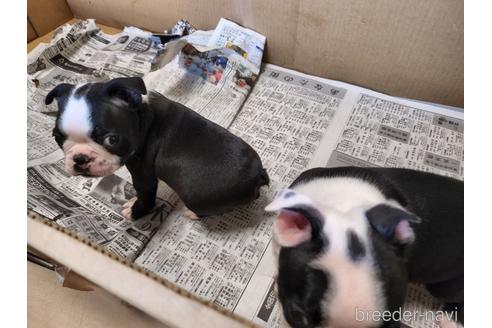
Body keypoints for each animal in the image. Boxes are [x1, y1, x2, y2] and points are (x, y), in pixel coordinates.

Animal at [45, 77, 270, 219]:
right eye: (57, 137)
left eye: (112, 140)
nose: (80, 159)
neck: (142, 113)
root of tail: (258, 175)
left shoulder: (143, 174)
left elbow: (145, 196)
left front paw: (135, 211)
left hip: (198, 196)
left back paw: (192, 213)